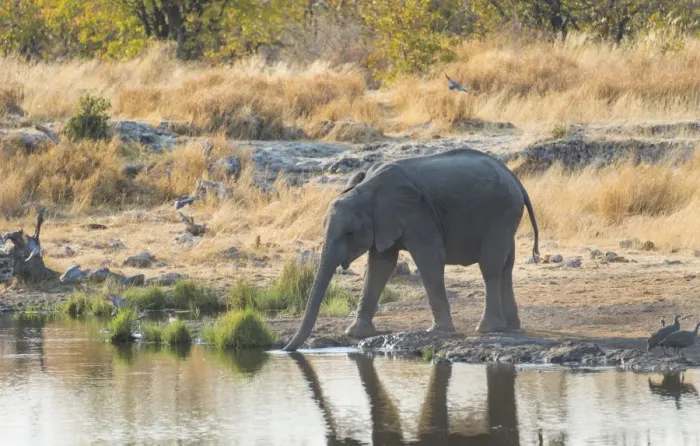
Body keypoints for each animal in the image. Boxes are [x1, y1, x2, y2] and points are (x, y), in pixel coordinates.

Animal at [283, 148, 539, 352]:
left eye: (349, 233)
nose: (285, 350)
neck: (365, 190)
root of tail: (516, 179)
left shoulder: (417, 214)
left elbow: (429, 258)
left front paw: (437, 332)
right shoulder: (384, 221)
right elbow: (380, 264)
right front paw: (355, 333)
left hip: (500, 214)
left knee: (491, 266)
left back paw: (488, 329)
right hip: (507, 218)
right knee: (506, 266)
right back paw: (511, 326)